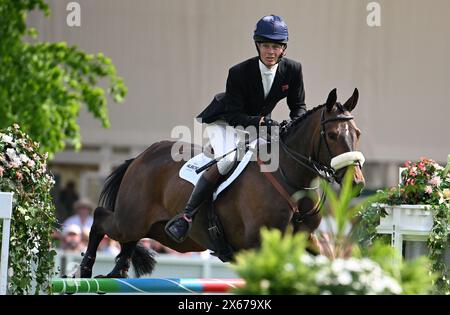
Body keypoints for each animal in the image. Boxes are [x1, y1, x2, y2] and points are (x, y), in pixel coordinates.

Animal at [77, 87, 366, 278]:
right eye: (332, 135)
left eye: (357, 133)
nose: (357, 182)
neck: (291, 179)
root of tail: (140, 157)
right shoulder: (257, 246)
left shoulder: (308, 240)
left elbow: (327, 259)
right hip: (129, 219)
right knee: (100, 217)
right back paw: (85, 269)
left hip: (157, 230)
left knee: (130, 240)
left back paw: (118, 270)